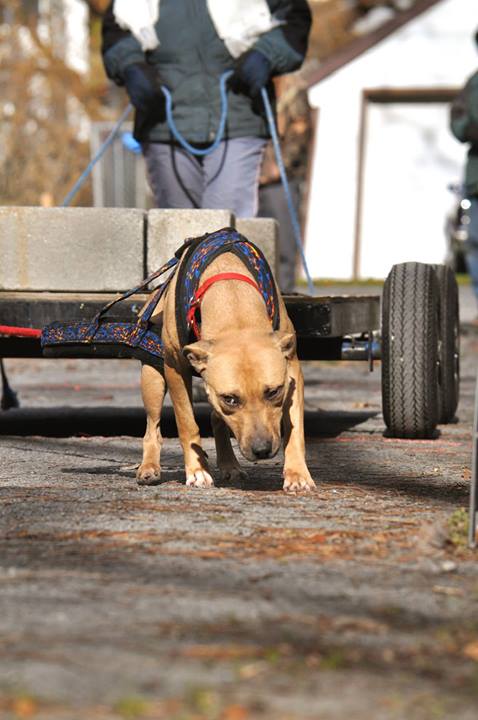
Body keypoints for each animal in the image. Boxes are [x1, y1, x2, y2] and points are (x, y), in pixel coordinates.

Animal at [136, 239, 314, 492]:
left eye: (273, 392)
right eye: (230, 399)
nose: (262, 450)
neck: (233, 304)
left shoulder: (292, 373)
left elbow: (295, 428)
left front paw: (297, 474)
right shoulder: (175, 369)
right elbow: (187, 423)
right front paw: (197, 471)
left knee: (216, 419)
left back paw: (230, 465)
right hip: (152, 379)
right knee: (153, 426)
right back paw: (149, 467)